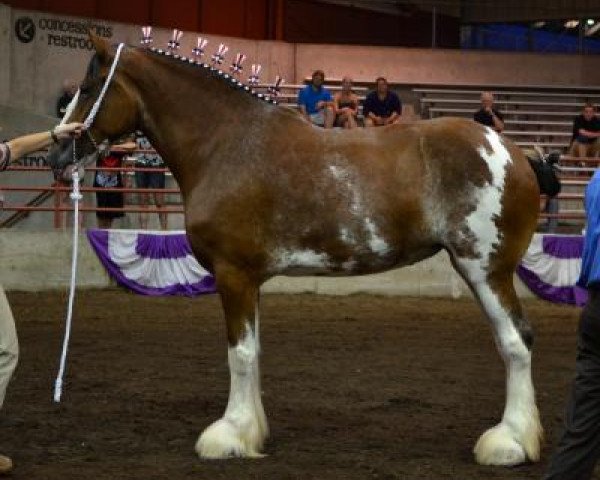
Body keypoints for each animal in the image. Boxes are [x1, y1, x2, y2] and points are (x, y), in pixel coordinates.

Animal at [48, 35, 544, 466]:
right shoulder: (249, 279)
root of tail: (516, 153)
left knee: (516, 342)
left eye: (88, 88)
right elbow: (253, 351)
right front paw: (251, 432)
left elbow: (239, 355)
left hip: (485, 269)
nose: (56, 153)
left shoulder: (232, 274)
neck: (226, 143)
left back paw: (510, 443)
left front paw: (229, 435)